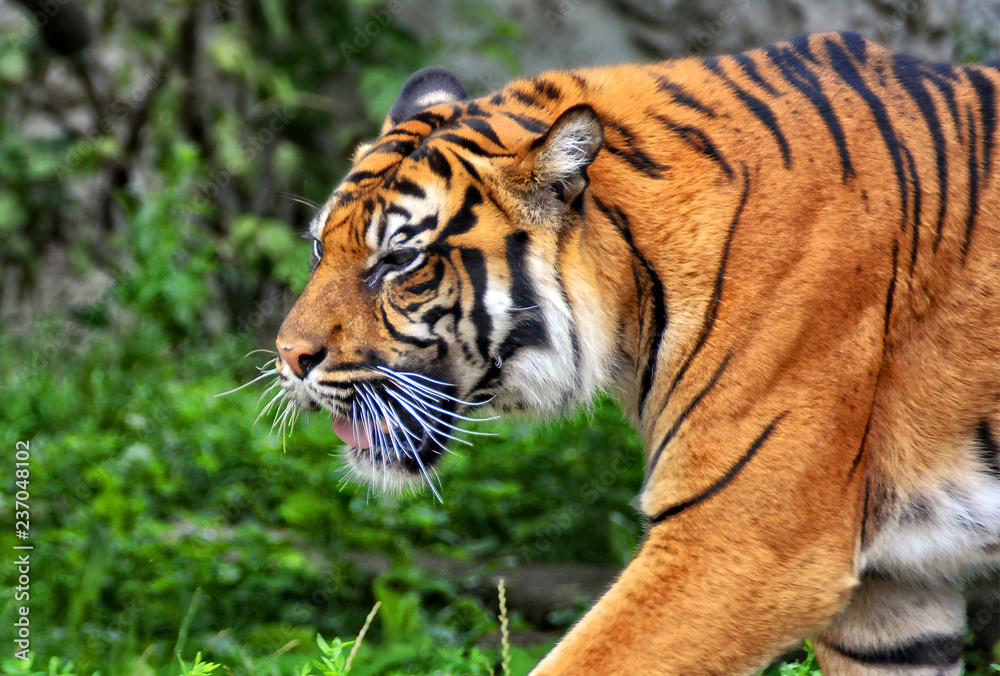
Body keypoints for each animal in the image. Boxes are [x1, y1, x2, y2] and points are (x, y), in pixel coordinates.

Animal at [271, 31, 1000, 675]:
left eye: (399, 261)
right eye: (319, 247)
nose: (288, 356)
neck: (636, 290)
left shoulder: (741, 541)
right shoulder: (893, 595)